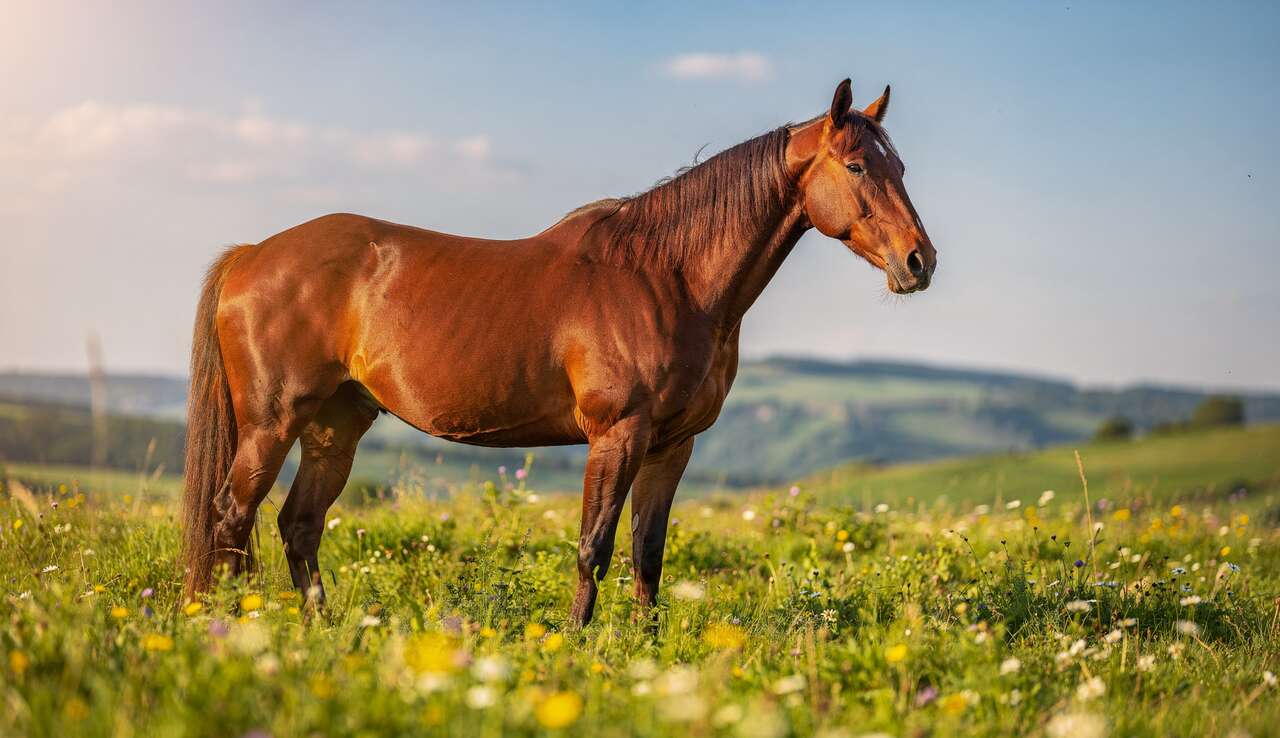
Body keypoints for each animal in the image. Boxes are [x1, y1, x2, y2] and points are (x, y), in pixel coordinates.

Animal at [181, 78, 936, 627]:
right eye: (858, 164)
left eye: (901, 165)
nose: (919, 262)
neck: (667, 275)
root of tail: (253, 255)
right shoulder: (617, 434)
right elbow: (593, 546)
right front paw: (576, 644)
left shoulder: (672, 444)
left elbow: (648, 553)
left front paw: (648, 651)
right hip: (272, 424)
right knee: (231, 518)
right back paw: (232, 625)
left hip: (335, 426)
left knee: (298, 525)